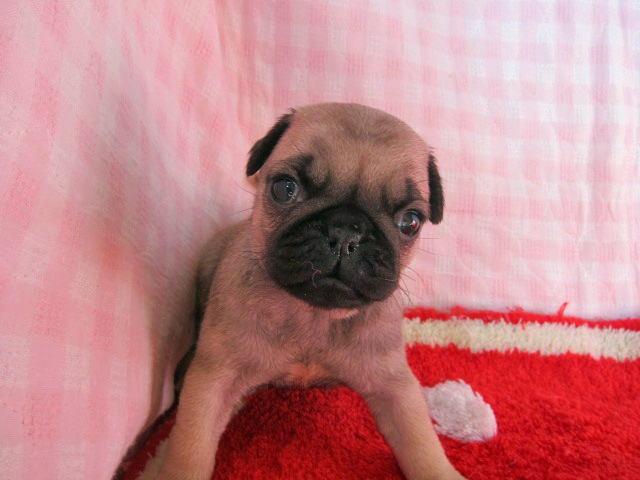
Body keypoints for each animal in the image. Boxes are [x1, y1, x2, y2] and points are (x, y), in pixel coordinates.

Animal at [156, 103, 465, 480]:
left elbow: (422, 445)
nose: (346, 232)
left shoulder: (396, 387)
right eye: (285, 188)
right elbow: (190, 448)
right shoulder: (213, 381)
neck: (312, 315)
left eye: (410, 221)